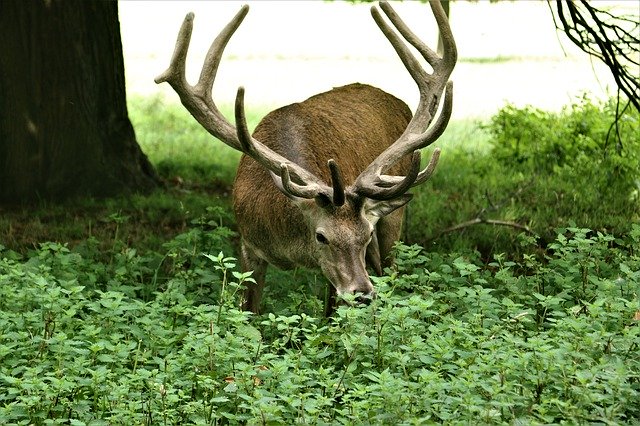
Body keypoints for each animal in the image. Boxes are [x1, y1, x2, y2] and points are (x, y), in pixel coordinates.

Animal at [154, 0, 456, 312]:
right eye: (321, 236)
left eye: (366, 233)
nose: (362, 293)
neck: (287, 243)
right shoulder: (248, 245)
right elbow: (248, 311)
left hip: (393, 223)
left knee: (392, 268)